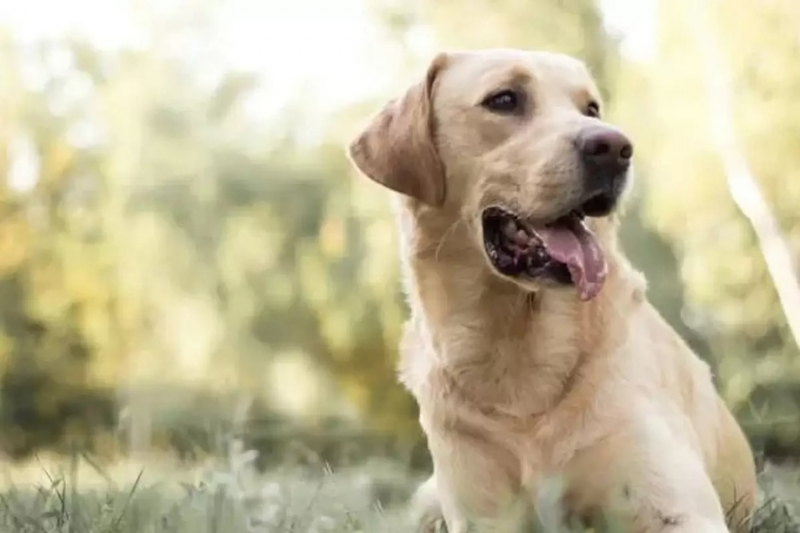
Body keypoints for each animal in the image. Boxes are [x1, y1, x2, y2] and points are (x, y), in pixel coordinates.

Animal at [344, 48, 756, 532]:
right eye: (504, 99)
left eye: (591, 109)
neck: (518, 359)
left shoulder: (678, 507)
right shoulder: (480, 515)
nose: (615, 148)